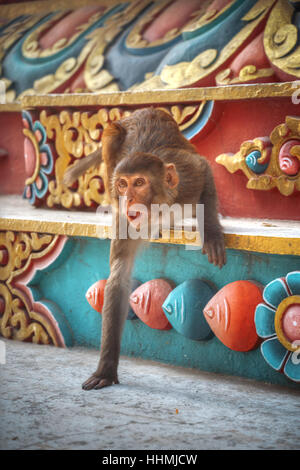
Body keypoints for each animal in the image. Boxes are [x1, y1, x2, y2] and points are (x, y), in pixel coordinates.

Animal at [63, 106, 225, 390]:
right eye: (123, 184)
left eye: (139, 183)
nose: (127, 199)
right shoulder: (124, 222)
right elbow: (118, 279)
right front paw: (106, 368)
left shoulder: (187, 181)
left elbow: (204, 168)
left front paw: (212, 231)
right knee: (111, 132)